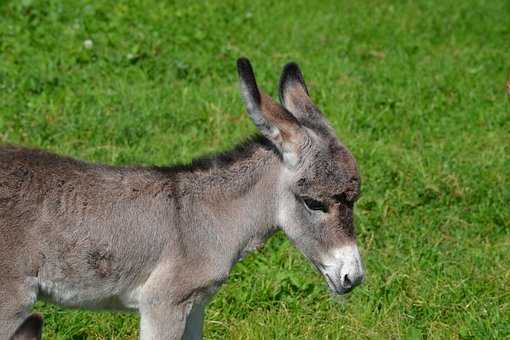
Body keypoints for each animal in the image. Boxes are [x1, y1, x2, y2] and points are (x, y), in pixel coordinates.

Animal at [1, 58, 364, 338]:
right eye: (313, 203)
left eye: (355, 201)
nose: (354, 278)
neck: (206, 219)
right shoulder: (163, 303)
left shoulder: (197, 304)